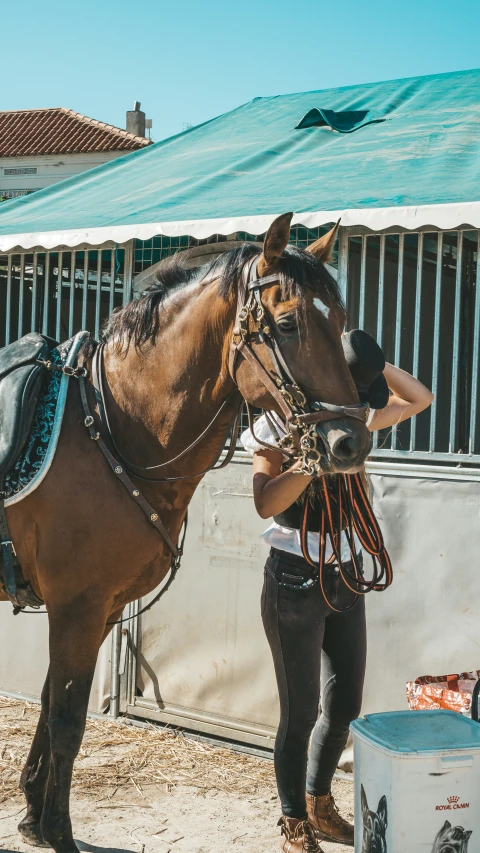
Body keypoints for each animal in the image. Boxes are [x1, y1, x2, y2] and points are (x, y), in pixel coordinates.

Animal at [0, 213, 372, 852]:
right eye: (289, 323)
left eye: (341, 323)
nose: (351, 443)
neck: (111, 427)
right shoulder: (77, 606)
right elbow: (69, 718)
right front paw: (59, 831)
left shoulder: (94, 611)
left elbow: (51, 703)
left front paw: (31, 816)